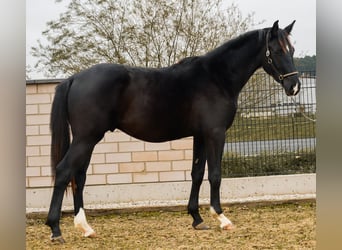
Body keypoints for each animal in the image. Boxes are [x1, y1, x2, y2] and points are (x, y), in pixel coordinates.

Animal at [46, 20, 300, 243]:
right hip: (86, 138)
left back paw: (85, 228)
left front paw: (197, 218)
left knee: (79, 176)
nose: (294, 87)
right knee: (64, 171)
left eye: (293, 49)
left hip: (88, 140)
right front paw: (221, 218)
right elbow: (215, 175)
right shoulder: (215, 133)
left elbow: (197, 174)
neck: (216, 78)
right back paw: (56, 230)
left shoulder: (200, 136)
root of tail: (74, 78)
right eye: (277, 50)